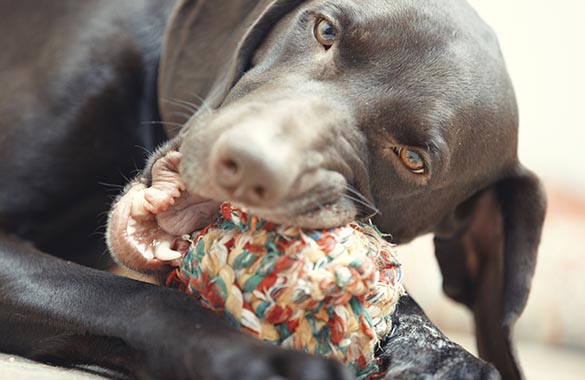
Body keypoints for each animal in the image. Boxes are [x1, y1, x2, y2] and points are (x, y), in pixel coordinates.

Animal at [0, 0, 544, 380]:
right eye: (325, 29)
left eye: (412, 159)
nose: (247, 164)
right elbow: (137, 297)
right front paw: (255, 357)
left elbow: (402, 300)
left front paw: (445, 354)